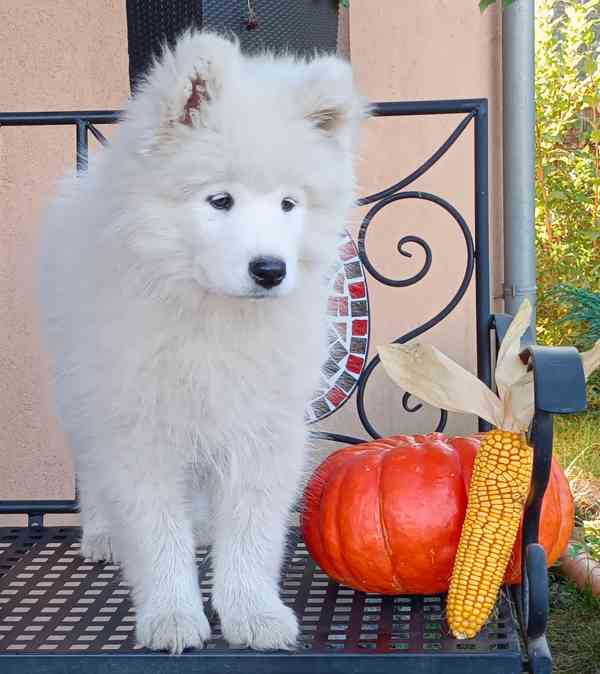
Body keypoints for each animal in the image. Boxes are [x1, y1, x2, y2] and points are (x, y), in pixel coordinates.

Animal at [39, 31, 366, 652]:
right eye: (221, 201)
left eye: (288, 204)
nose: (270, 269)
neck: (213, 317)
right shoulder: (138, 424)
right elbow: (156, 532)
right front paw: (172, 616)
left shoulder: (263, 425)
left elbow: (253, 531)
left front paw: (254, 614)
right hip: (78, 386)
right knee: (92, 467)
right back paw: (101, 533)